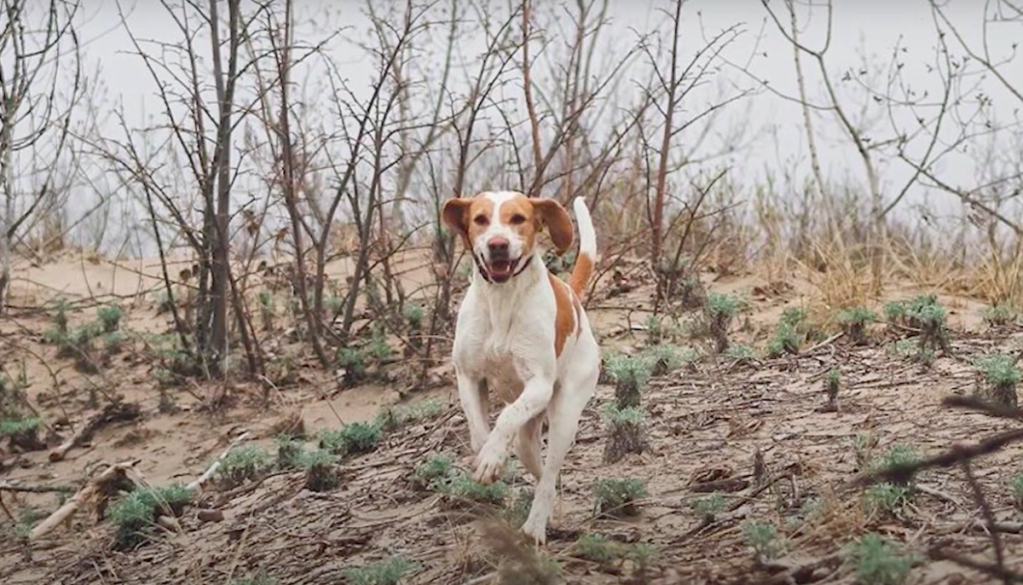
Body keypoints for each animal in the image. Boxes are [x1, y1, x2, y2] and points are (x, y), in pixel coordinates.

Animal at [441, 191, 597, 544]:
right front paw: (490, 457)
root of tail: (572, 295)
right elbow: (478, 431)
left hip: (564, 414)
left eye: (518, 219)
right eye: (480, 219)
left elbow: (507, 416)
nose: (498, 244)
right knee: (542, 476)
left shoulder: (538, 384)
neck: (502, 298)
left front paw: (492, 457)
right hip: (528, 440)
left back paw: (534, 527)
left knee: (550, 474)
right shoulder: (468, 377)